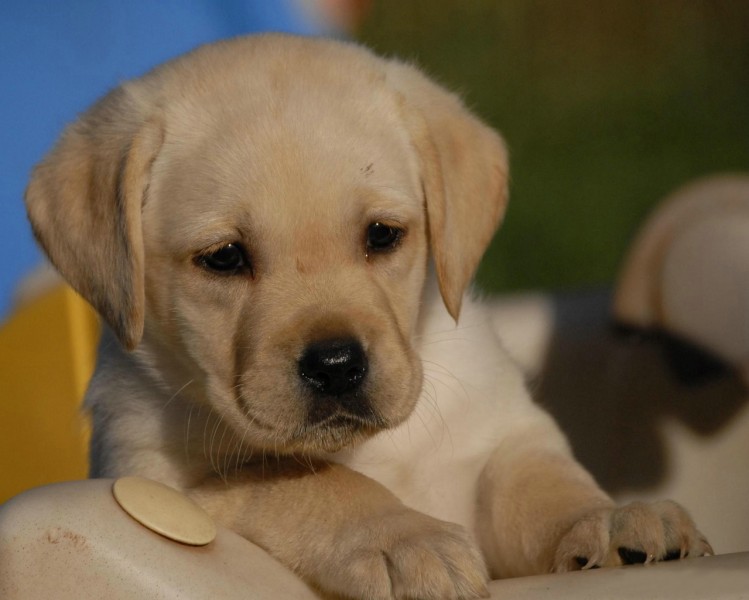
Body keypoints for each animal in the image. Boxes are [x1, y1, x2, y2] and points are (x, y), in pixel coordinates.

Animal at [26, 34, 712, 600]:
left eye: (382, 236)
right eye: (224, 258)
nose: (336, 365)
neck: (376, 450)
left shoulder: (501, 433)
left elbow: (536, 483)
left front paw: (611, 520)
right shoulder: (160, 479)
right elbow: (302, 479)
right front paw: (405, 539)